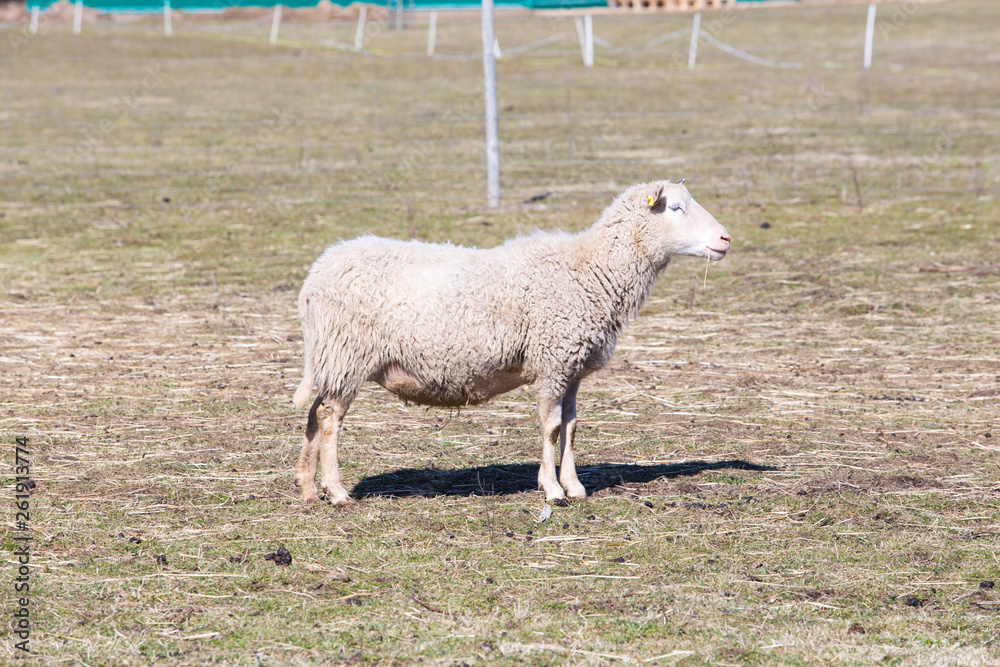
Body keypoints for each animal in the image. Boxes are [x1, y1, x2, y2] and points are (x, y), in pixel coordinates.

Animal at [292, 179, 731, 505]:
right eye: (676, 209)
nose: (726, 238)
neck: (591, 270)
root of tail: (315, 277)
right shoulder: (553, 359)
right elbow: (551, 427)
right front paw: (552, 490)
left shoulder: (572, 368)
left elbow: (571, 426)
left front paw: (574, 485)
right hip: (348, 354)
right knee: (330, 419)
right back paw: (337, 491)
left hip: (333, 359)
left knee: (315, 414)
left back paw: (309, 489)